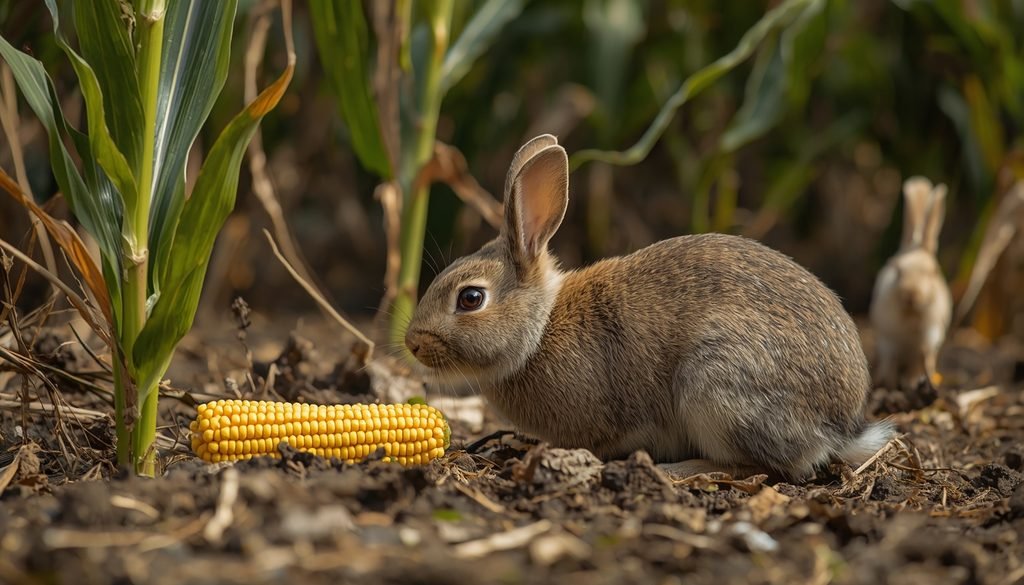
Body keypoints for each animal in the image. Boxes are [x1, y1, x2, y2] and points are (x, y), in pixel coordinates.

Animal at [404, 134, 893, 481]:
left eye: (471, 298)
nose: (412, 344)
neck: (540, 329)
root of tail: (842, 426)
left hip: (716, 387)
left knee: (763, 466)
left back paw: (676, 469)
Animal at [869, 177, 952, 392]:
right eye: (897, 271)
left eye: (933, 272)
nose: (910, 294)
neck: (911, 313)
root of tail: (915, 244)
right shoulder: (888, 339)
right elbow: (889, 360)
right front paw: (888, 384)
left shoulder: (929, 337)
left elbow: (922, 360)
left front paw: (913, 382)